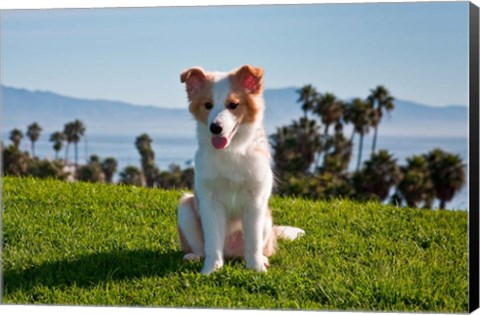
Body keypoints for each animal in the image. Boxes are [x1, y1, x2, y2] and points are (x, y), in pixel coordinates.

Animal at [176, 65, 304, 276]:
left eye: (233, 105)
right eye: (208, 105)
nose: (215, 128)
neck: (232, 151)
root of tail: (230, 251)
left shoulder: (256, 201)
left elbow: (253, 242)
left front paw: (256, 268)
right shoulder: (210, 202)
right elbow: (212, 243)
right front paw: (211, 269)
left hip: (266, 218)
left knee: (259, 246)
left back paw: (262, 258)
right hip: (185, 207)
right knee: (202, 247)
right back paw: (194, 256)